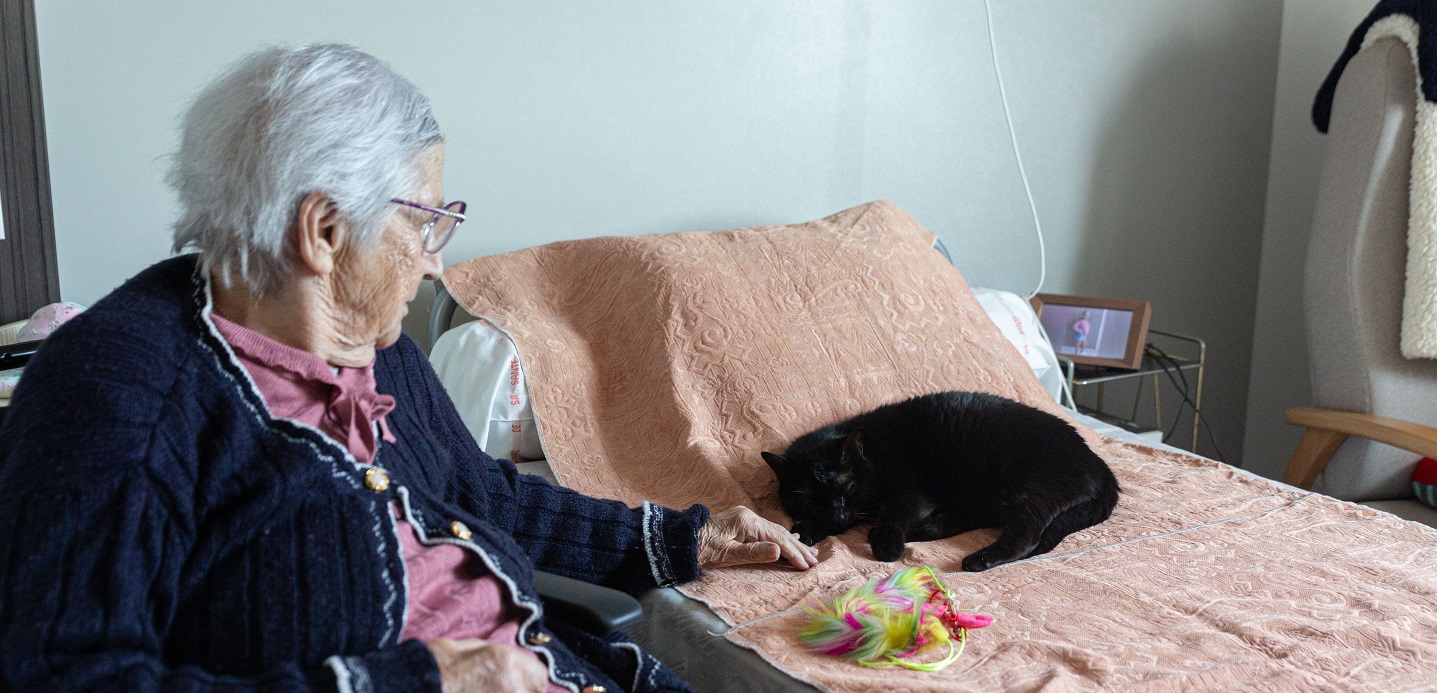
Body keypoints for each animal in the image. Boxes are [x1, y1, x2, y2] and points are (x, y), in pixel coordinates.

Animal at [762, 390, 1119, 572]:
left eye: (847, 487)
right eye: (810, 498)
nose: (837, 514)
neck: (874, 452)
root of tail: (1102, 467)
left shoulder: (913, 494)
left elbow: (892, 513)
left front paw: (887, 545)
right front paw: (803, 531)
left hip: (1027, 490)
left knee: (1028, 536)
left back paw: (976, 559)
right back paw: (923, 531)